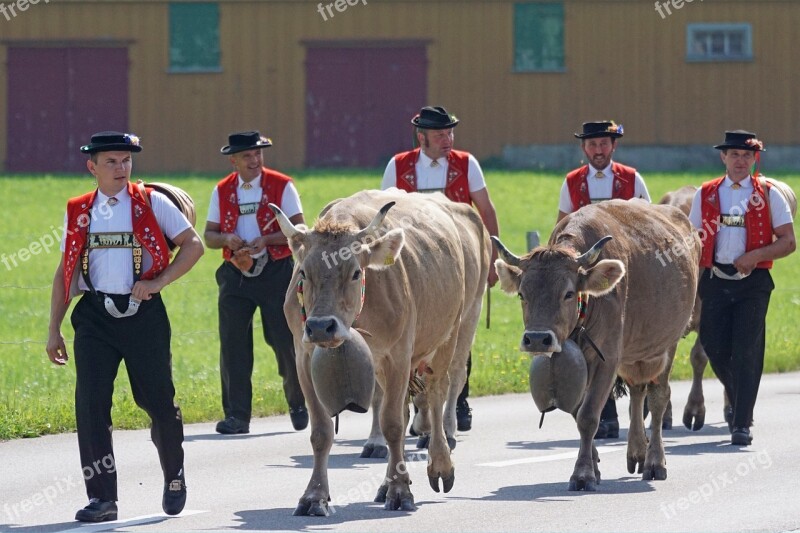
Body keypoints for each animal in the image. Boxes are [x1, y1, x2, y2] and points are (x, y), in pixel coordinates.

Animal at [268, 189, 488, 512]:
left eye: (356, 273)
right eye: (304, 273)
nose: (321, 326)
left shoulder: (398, 355)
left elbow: (393, 424)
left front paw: (400, 491)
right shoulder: (304, 356)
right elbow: (321, 431)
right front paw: (314, 496)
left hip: (455, 330)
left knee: (440, 391)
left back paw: (440, 462)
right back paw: (386, 482)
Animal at [494, 200, 700, 490]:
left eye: (568, 293)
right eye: (522, 293)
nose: (537, 338)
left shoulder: (608, 359)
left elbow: (589, 415)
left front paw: (583, 474)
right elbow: (577, 412)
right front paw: (593, 464)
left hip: (665, 345)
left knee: (658, 398)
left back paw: (654, 462)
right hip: (633, 355)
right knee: (637, 392)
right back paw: (637, 451)